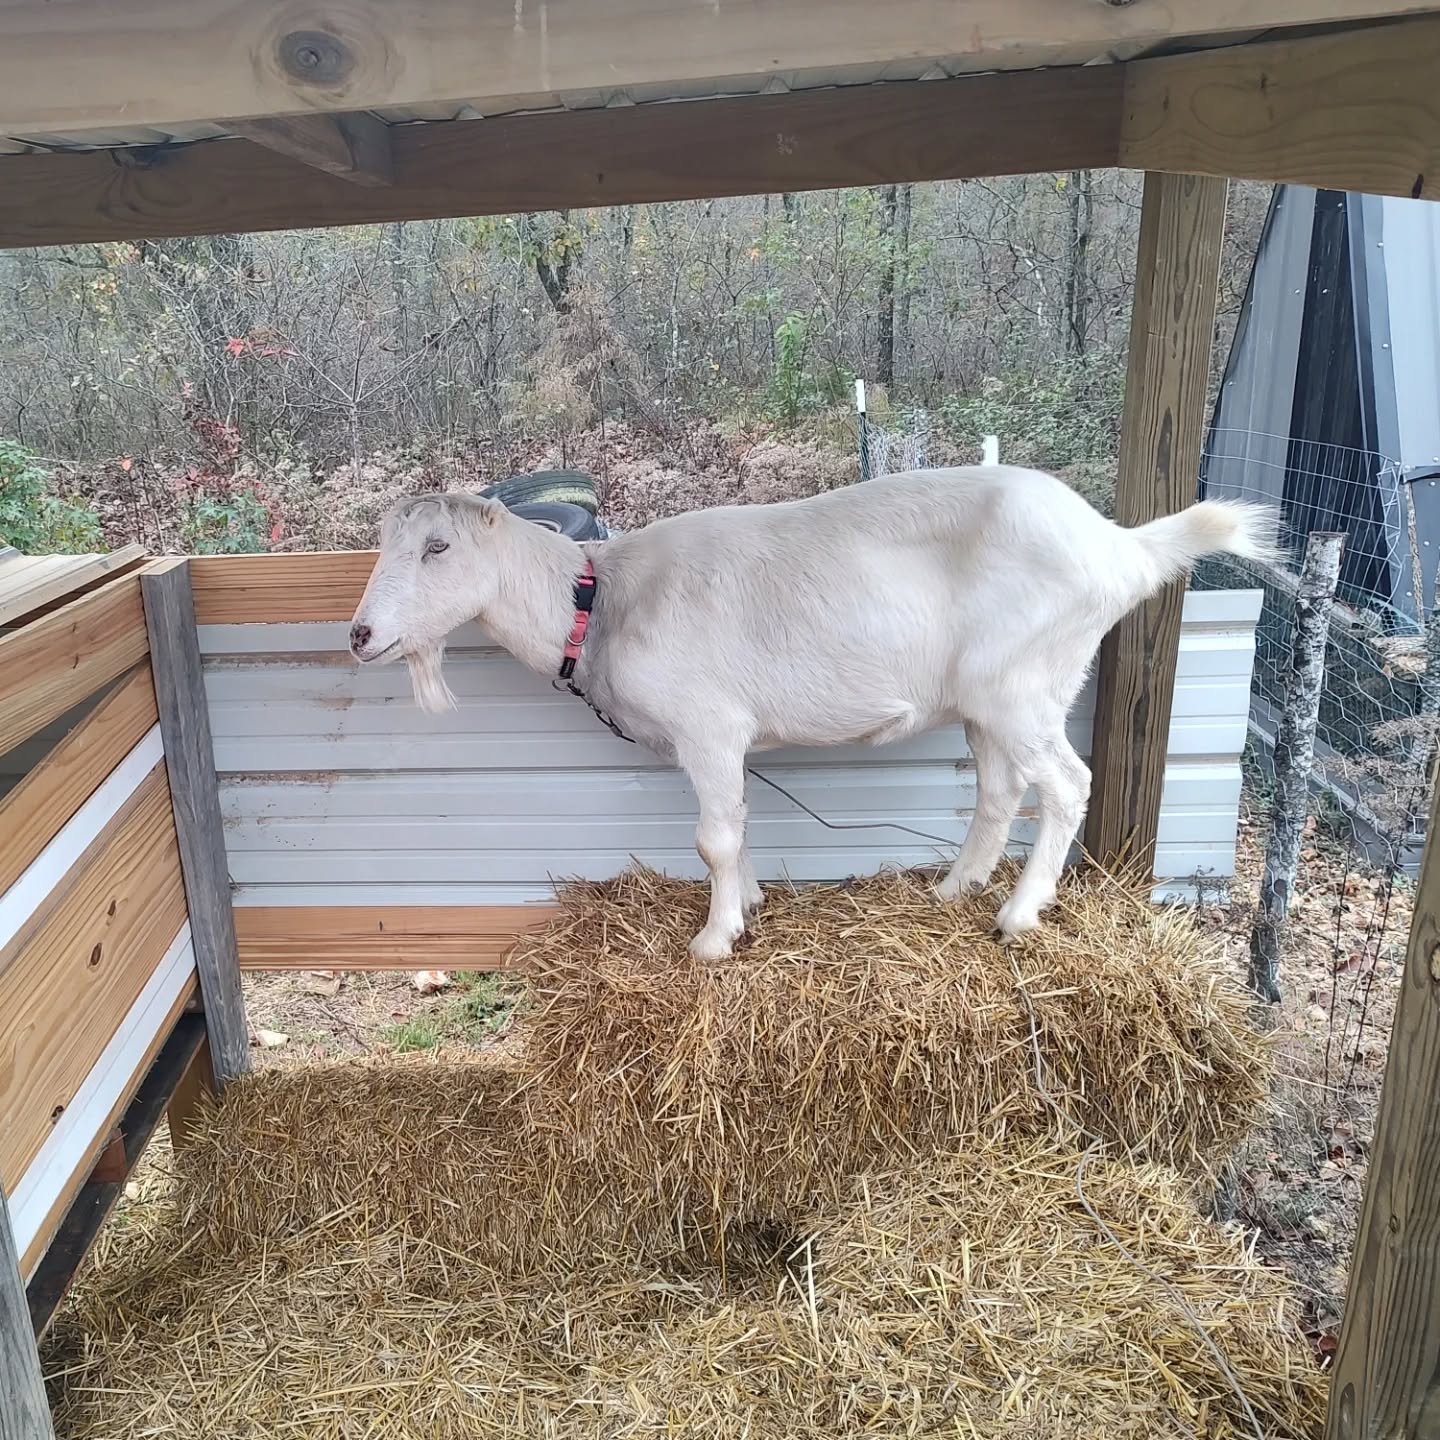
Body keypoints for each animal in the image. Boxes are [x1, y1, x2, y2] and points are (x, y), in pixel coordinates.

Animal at [349, 467, 1272, 960]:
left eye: (438, 547)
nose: (359, 634)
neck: (600, 600)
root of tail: (1122, 547)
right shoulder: (726, 743)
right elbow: (739, 823)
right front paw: (751, 902)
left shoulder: (709, 727)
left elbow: (712, 838)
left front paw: (714, 939)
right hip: (992, 699)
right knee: (1001, 789)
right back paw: (955, 887)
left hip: (1023, 682)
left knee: (1068, 784)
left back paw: (1016, 915)